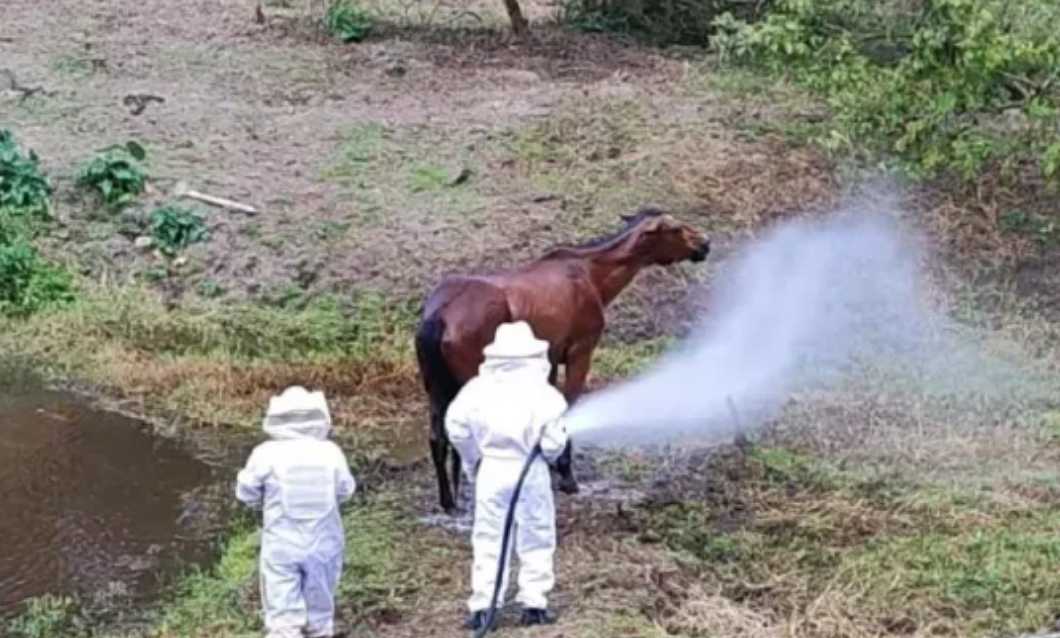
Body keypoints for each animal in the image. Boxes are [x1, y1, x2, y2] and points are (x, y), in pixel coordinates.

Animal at [415, 208, 712, 510]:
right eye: (675, 228)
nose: (705, 243)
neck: (591, 274)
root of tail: (439, 315)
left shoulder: (550, 360)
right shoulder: (580, 352)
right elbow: (566, 411)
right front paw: (566, 476)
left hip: (437, 388)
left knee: (437, 439)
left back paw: (448, 500)